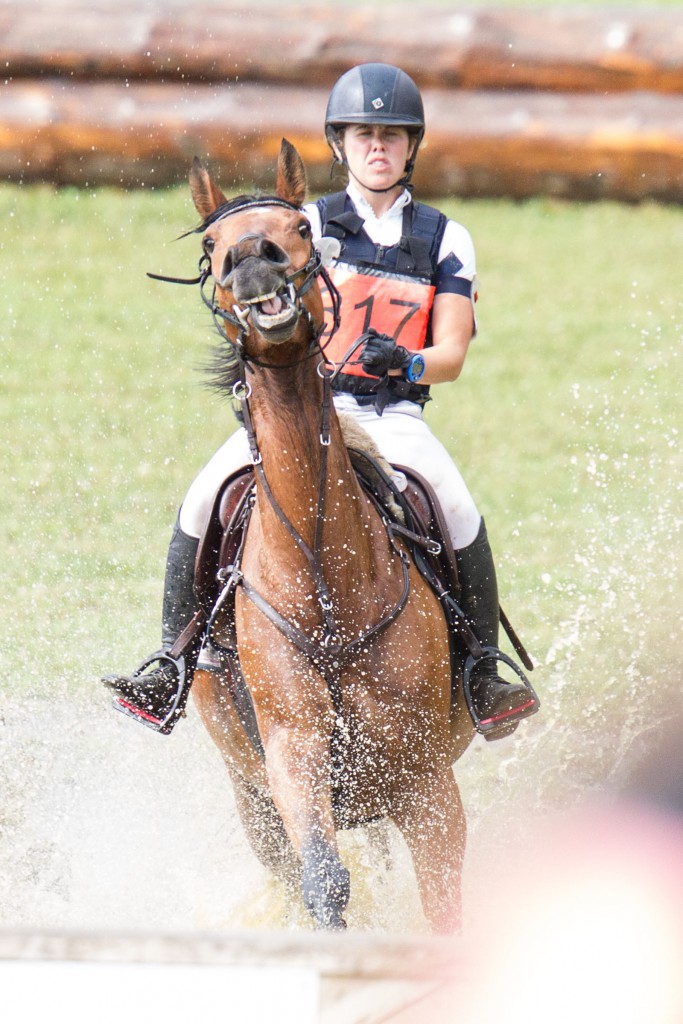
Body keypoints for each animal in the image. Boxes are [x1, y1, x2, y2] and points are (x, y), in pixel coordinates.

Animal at [187, 140, 475, 933]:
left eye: (297, 229)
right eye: (211, 246)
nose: (253, 266)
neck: (324, 574)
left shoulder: (425, 784)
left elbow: (444, 905)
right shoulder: (292, 756)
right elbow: (325, 882)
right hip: (251, 799)